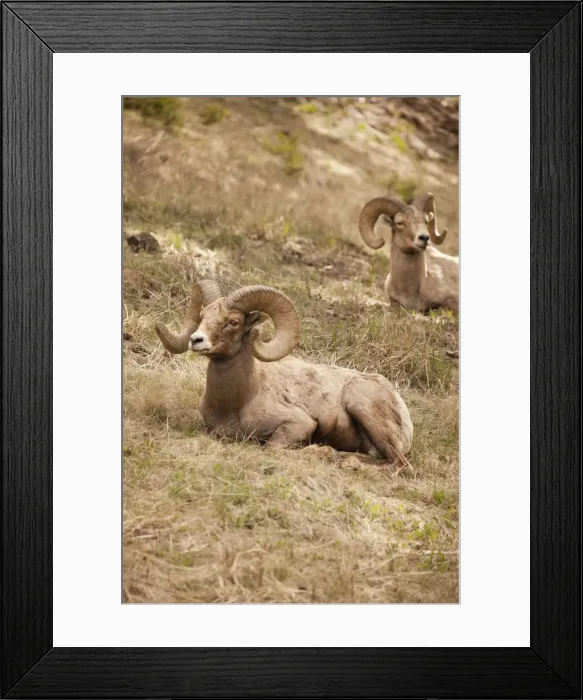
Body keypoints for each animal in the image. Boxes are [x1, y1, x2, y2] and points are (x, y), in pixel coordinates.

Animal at [155, 279, 413, 465]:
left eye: (234, 322)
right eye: (202, 316)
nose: (196, 340)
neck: (238, 402)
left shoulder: (298, 425)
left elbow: (272, 448)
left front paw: (318, 452)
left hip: (361, 406)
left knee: (399, 464)